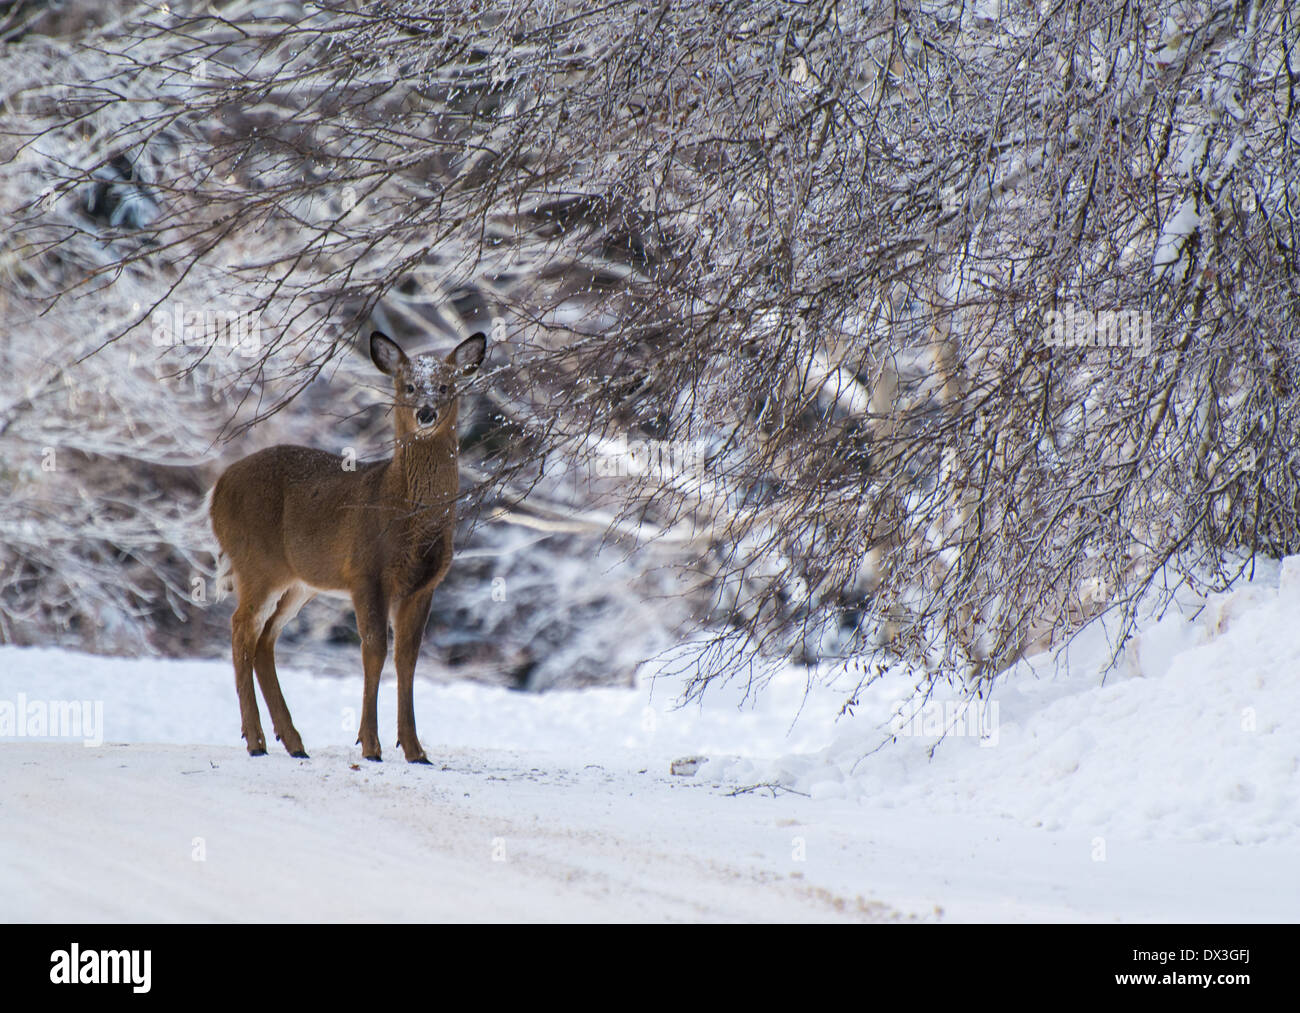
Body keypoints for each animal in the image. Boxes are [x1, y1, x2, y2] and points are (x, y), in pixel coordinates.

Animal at [208, 328, 488, 764]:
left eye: (445, 386)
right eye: (408, 386)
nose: (426, 413)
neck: (398, 504)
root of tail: (217, 490)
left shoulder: (425, 586)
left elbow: (407, 658)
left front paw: (415, 749)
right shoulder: (365, 573)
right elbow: (374, 652)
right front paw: (370, 745)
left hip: (299, 581)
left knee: (265, 638)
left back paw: (293, 742)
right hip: (256, 562)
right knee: (241, 628)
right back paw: (255, 741)